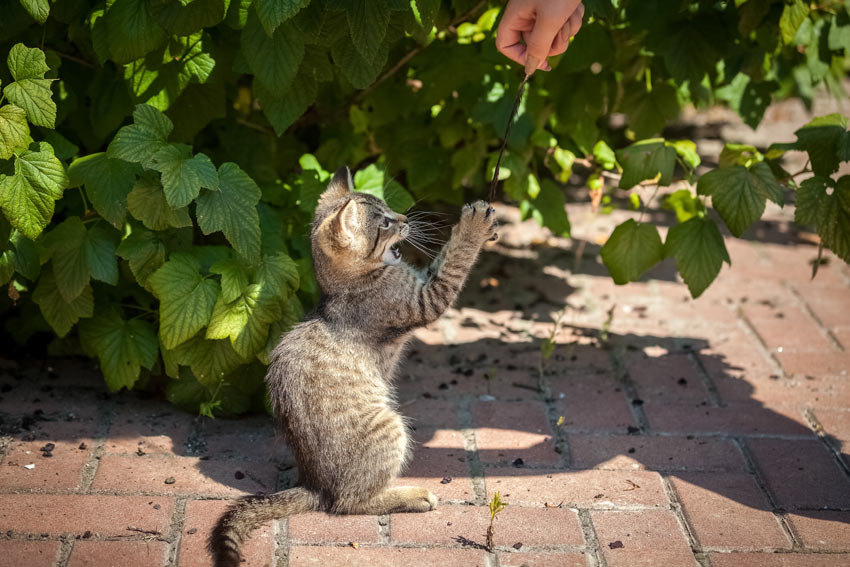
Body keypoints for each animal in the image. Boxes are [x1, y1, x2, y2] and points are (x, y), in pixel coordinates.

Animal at [209, 166, 496, 564]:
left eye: (390, 209)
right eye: (386, 222)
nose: (406, 218)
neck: (347, 287)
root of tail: (313, 484)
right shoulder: (424, 299)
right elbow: (453, 262)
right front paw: (473, 226)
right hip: (388, 427)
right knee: (348, 503)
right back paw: (411, 495)